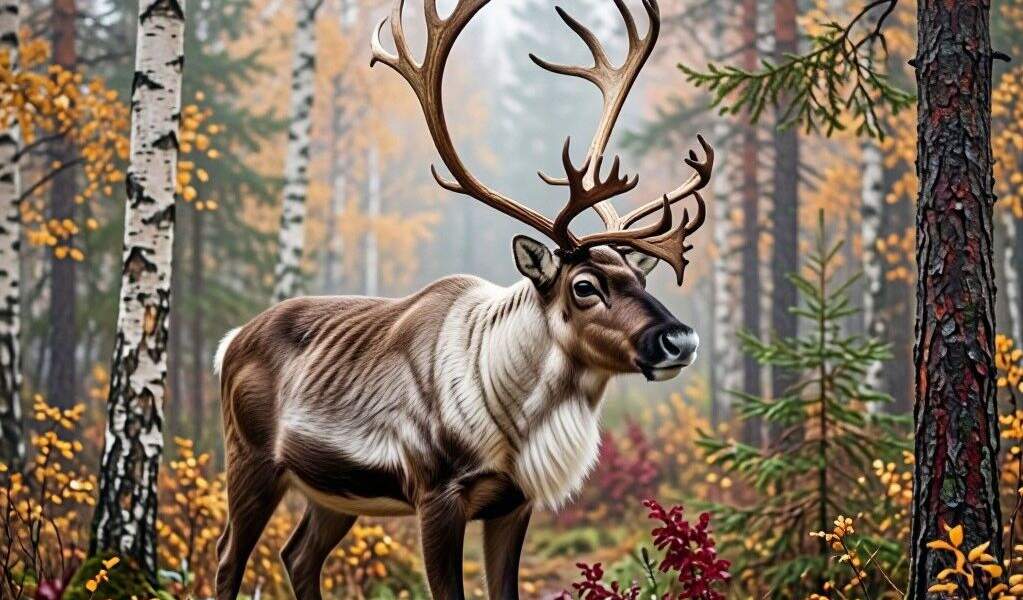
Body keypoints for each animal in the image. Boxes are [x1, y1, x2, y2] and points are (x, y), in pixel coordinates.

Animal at [213, 0, 713, 598]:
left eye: (641, 278)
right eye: (584, 285)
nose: (679, 338)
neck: (518, 425)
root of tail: (229, 342)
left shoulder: (513, 504)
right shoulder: (438, 493)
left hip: (333, 490)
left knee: (298, 555)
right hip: (250, 458)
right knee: (227, 557)